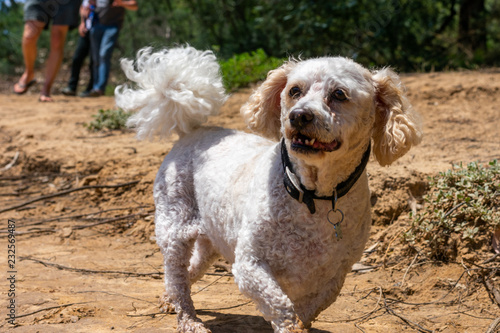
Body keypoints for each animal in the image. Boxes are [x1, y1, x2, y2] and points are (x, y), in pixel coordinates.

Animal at [116, 44, 422, 332]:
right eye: (294, 91)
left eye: (339, 94)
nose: (299, 116)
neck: (312, 195)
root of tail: (190, 131)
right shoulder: (249, 264)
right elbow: (281, 306)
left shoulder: (336, 275)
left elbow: (310, 309)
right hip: (174, 228)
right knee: (176, 276)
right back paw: (189, 321)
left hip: (212, 238)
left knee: (185, 273)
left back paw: (168, 299)